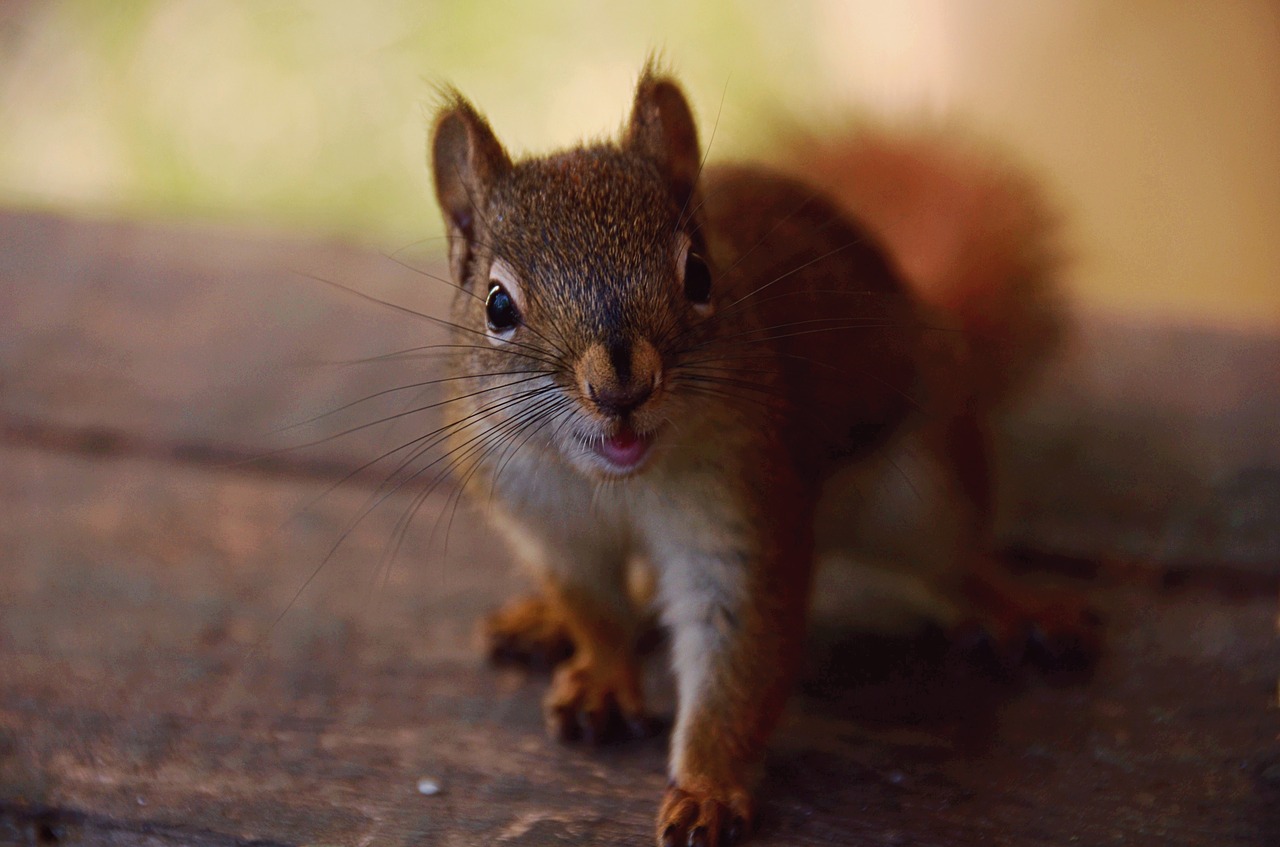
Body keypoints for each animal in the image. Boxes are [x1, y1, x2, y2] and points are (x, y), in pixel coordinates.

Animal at [427, 61, 1090, 847]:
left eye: (699, 276)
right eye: (497, 306)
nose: (622, 386)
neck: (618, 485)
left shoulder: (745, 499)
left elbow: (738, 648)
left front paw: (707, 787)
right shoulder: (546, 524)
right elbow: (596, 609)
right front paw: (602, 671)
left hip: (927, 486)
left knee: (954, 558)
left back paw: (1014, 605)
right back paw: (542, 621)